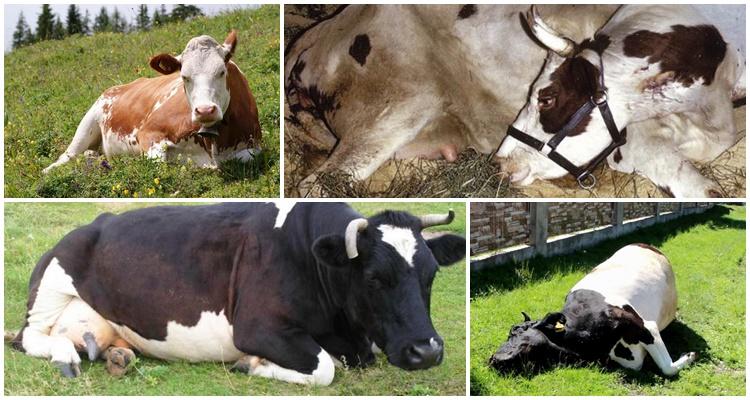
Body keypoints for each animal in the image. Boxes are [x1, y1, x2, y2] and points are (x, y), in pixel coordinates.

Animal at [10, 203, 465, 385]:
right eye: (373, 279)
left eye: (431, 275)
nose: (426, 351)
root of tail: (95, 222)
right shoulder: (257, 327)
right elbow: (323, 368)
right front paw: (253, 365)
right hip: (52, 280)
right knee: (28, 335)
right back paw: (67, 355)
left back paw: (118, 356)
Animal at [43, 30, 262, 173]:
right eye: (184, 77)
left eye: (221, 72)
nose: (205, 110)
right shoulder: (148, 132)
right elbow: (159, 162)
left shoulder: (255, 144)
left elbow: (247, 157)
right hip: (87, 124)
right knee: (67, 156)